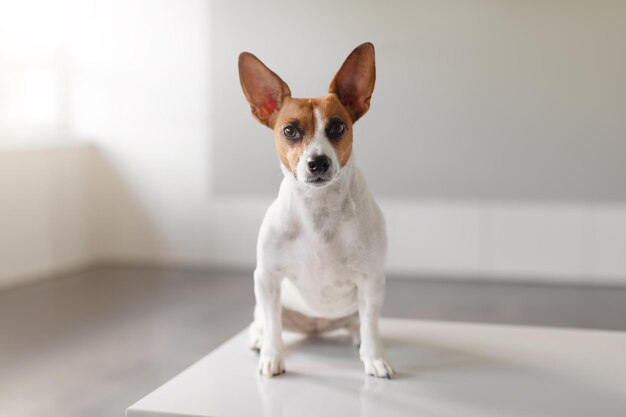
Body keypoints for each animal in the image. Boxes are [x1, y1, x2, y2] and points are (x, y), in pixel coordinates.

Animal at [236, 42, 392, 376]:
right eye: (289, 131)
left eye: (338, 127)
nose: (318, 162)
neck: (319, 210)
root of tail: (317, 326)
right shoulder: (266, 278)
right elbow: (273, 325)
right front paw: (272, 356)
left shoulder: (371, 282)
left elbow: (372, 327)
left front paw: (375, 359)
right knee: (264, 321)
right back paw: (259, 339)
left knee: (360, 325)